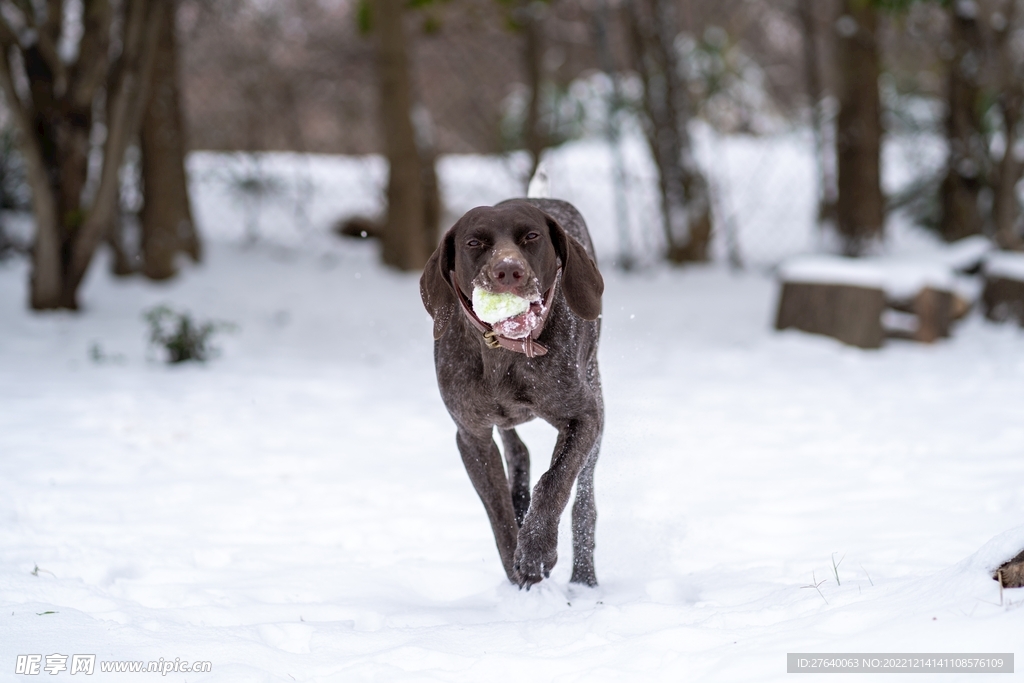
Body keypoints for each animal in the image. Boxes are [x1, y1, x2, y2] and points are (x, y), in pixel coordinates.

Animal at [419, 197, 602, 589]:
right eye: (474, 243)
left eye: (531, 236)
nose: (508, 271)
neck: (505, 353)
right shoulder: (472, 435)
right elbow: (498, 510)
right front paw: (516, 567)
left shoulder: (584, 418)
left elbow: (555, 481)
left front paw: (536, 550)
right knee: (518, 452)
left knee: (584, 501)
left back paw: (583, 578)